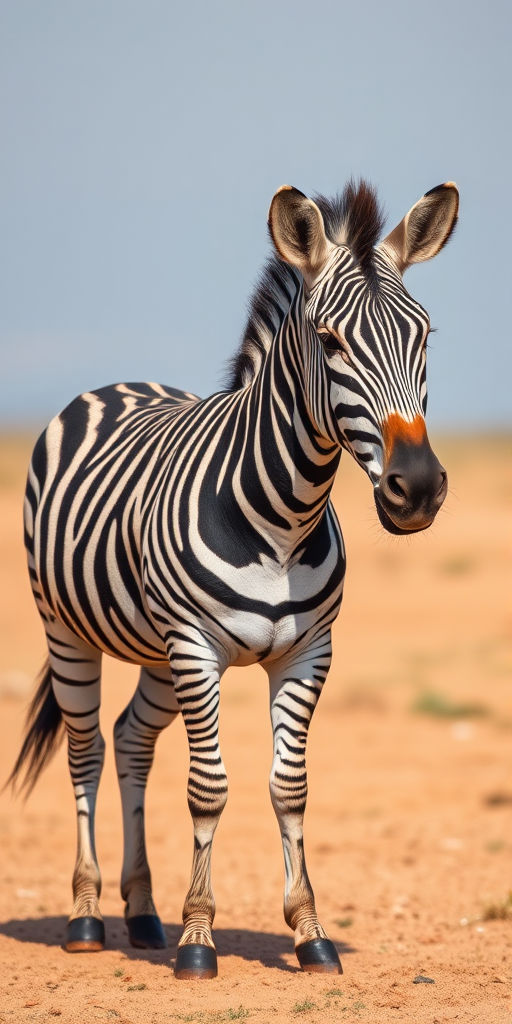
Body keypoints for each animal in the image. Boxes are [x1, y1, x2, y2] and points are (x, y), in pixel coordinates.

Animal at [9, 179, 458, 979]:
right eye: (331, 342)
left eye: (425, 337)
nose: (418, 490)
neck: (281, 519)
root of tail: (118, 384)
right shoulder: (196, 647)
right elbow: (209, 787)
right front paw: (199, 939)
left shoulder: (307, 652)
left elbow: (290, 786)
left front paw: (309, 931)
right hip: (70, 631)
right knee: (86, 750)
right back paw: (87, 916)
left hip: (156, 652)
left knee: (131, 741)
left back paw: (142, 912)